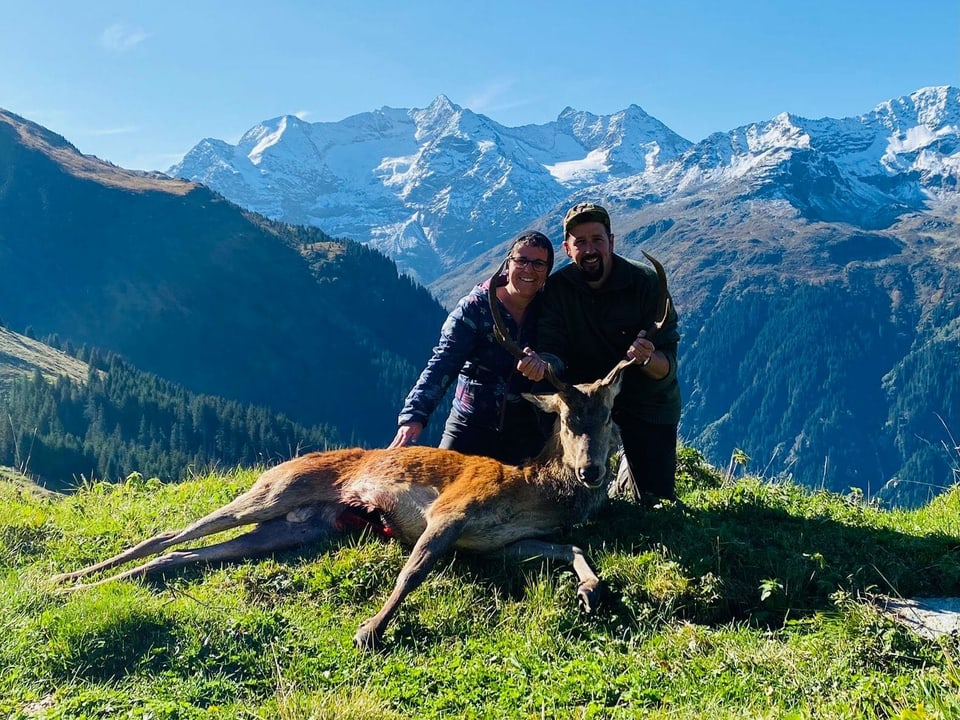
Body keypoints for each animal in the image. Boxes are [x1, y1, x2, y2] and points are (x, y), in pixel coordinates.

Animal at [48, 253, 672, 652]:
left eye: (609, 416)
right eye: (564, 418)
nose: (591, 471)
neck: (533, 492)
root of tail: (291, 466)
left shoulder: (505, 543)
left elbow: (572, 548)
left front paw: (592, 590)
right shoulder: (453, 510)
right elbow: (413, 571)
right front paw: (371, 629)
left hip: (300, 527)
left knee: (180, 555)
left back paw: (93, 584)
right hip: (272, 490)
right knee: (166, 534)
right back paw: (66, 578)